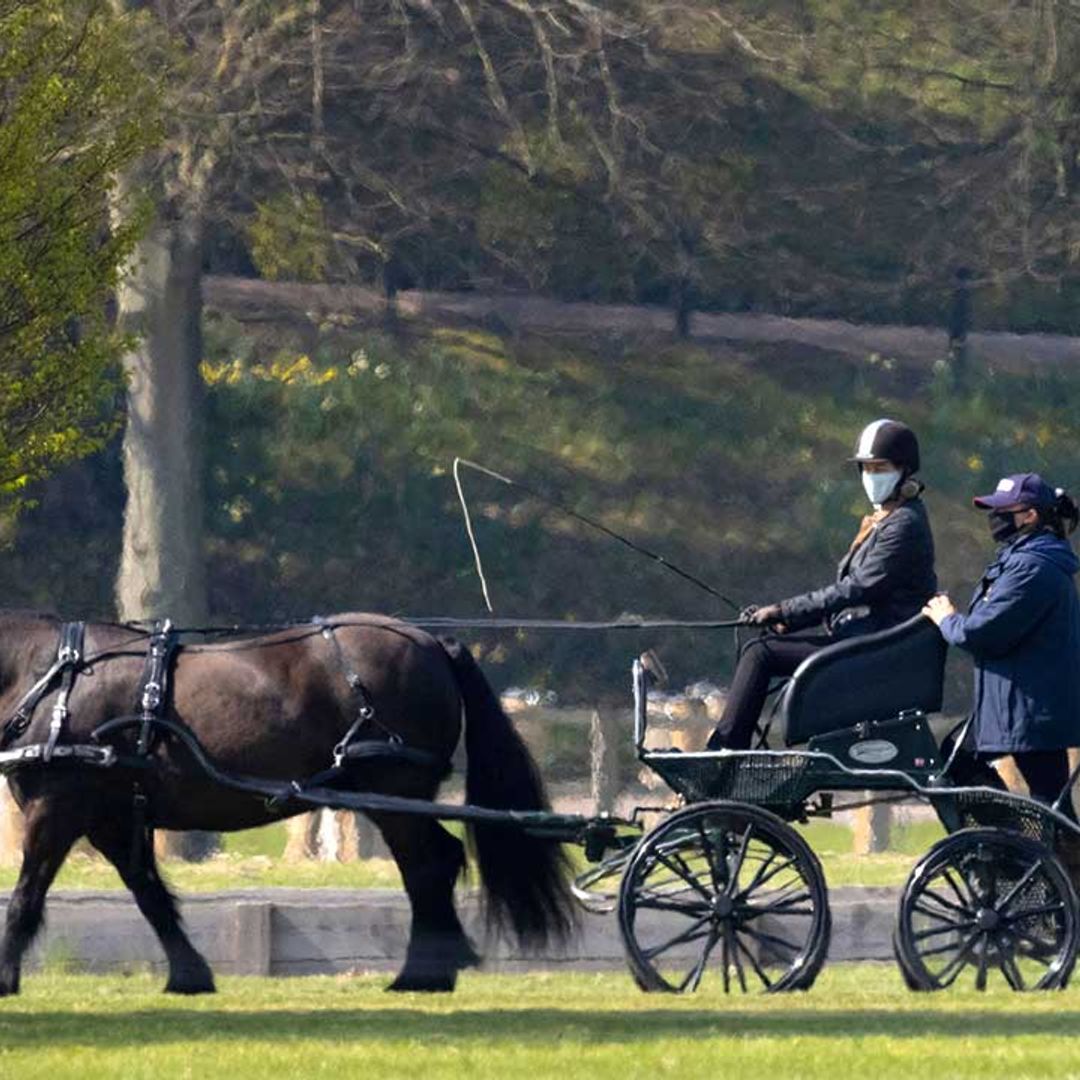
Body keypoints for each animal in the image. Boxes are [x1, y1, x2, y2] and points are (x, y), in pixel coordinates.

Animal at [0, 613, 574, 997]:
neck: (48, 678)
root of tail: (434, 640)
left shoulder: (58, 805)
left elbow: (26, 894)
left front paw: (6, 978)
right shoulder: (109, 818)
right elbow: (150, 894)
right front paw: (190, 976)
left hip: (392, 792)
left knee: (428, 867)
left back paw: (421, 974)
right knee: (440, 861)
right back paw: (439, 965)